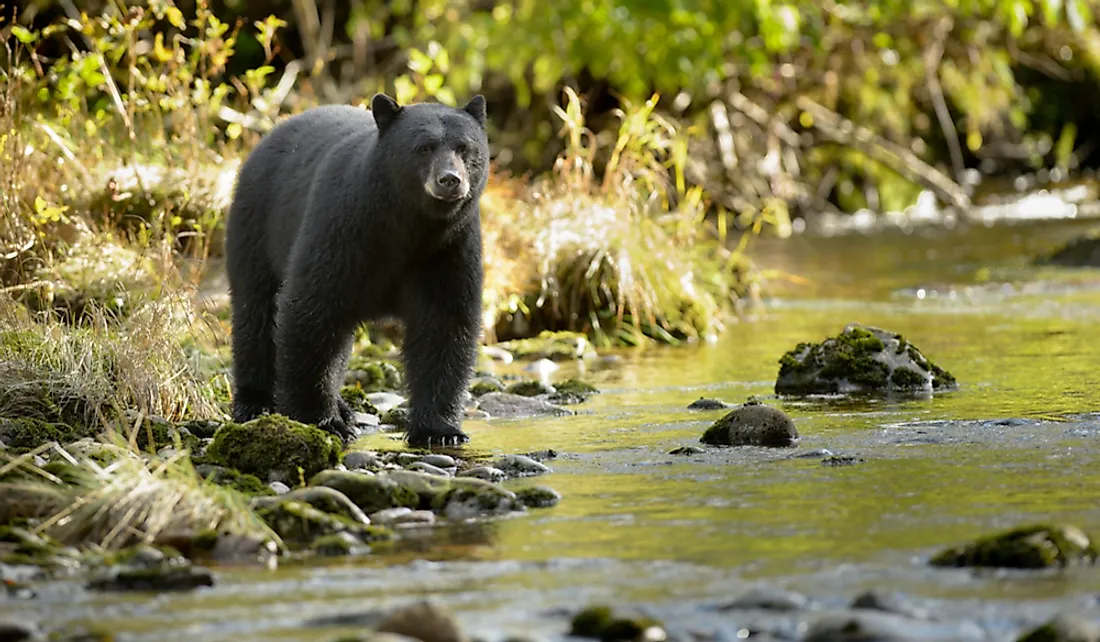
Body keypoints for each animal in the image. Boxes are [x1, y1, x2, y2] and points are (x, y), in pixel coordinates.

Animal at [225, 93, 488, 446]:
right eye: (424, 147)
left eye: (464, 148)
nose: (450, 180)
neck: (409, 226)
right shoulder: (343, 229)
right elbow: (311, 311)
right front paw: (321, 420)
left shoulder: (449, 248)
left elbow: (444, 324)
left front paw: (440, 430)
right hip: (256, 226)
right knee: (255, 312)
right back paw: (256, 402)